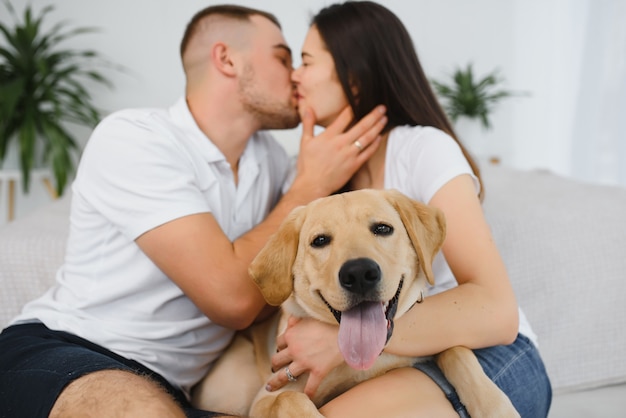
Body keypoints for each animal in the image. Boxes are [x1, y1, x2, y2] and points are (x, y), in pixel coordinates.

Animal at [193, 189, 520, 418]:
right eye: (320, 240)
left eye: (383, 229)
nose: (359, 273)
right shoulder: (264, 400)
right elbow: (290, 398)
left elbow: (457, 351)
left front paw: (495, 406)